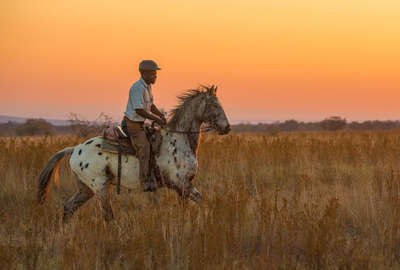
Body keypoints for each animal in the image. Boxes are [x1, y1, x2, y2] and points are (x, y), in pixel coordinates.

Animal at [38, 85, 231, 223]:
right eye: (215, 105)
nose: (227, 128)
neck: (179, 139)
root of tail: (75, 149)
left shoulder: (182, 187)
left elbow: (189, 208)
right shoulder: (181, 184)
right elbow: (200, 200)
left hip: (85, 189)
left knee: (68, 208)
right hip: (100, 187)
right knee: (107, 216)